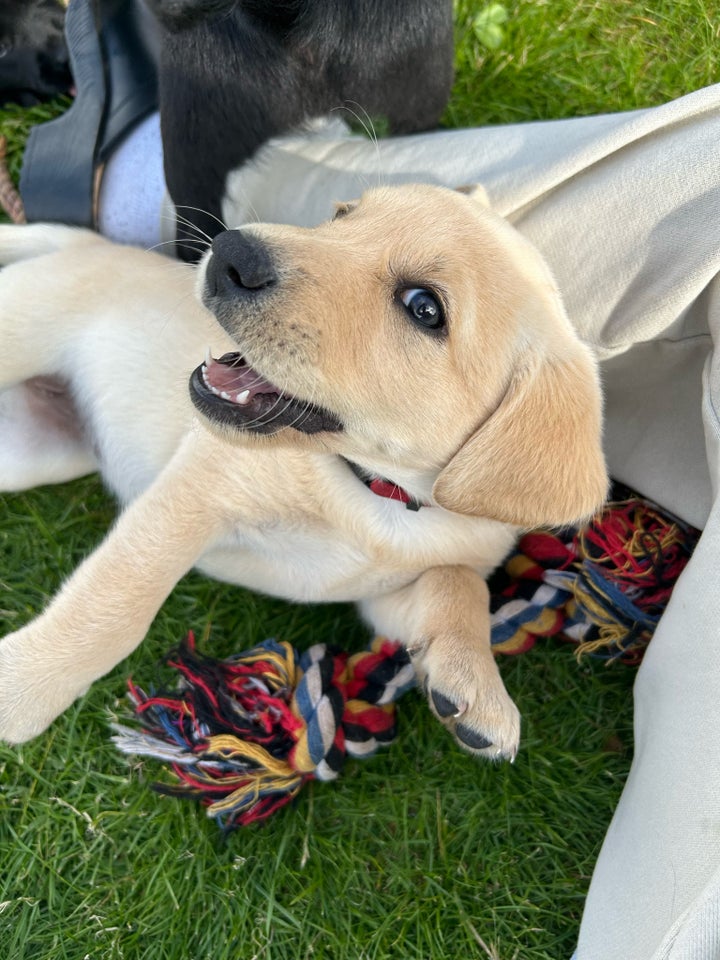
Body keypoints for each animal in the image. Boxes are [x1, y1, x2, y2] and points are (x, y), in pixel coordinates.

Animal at [0, 186, 608, 756]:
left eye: (424, 307)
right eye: (342, 214)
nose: (231, 251)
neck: (373, 496)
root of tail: (88, 245)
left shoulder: (386, 596)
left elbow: (459, 584)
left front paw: (475, 685)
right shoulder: (198, 492)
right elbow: (115, 605)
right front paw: (22, 687)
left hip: (31, 453)